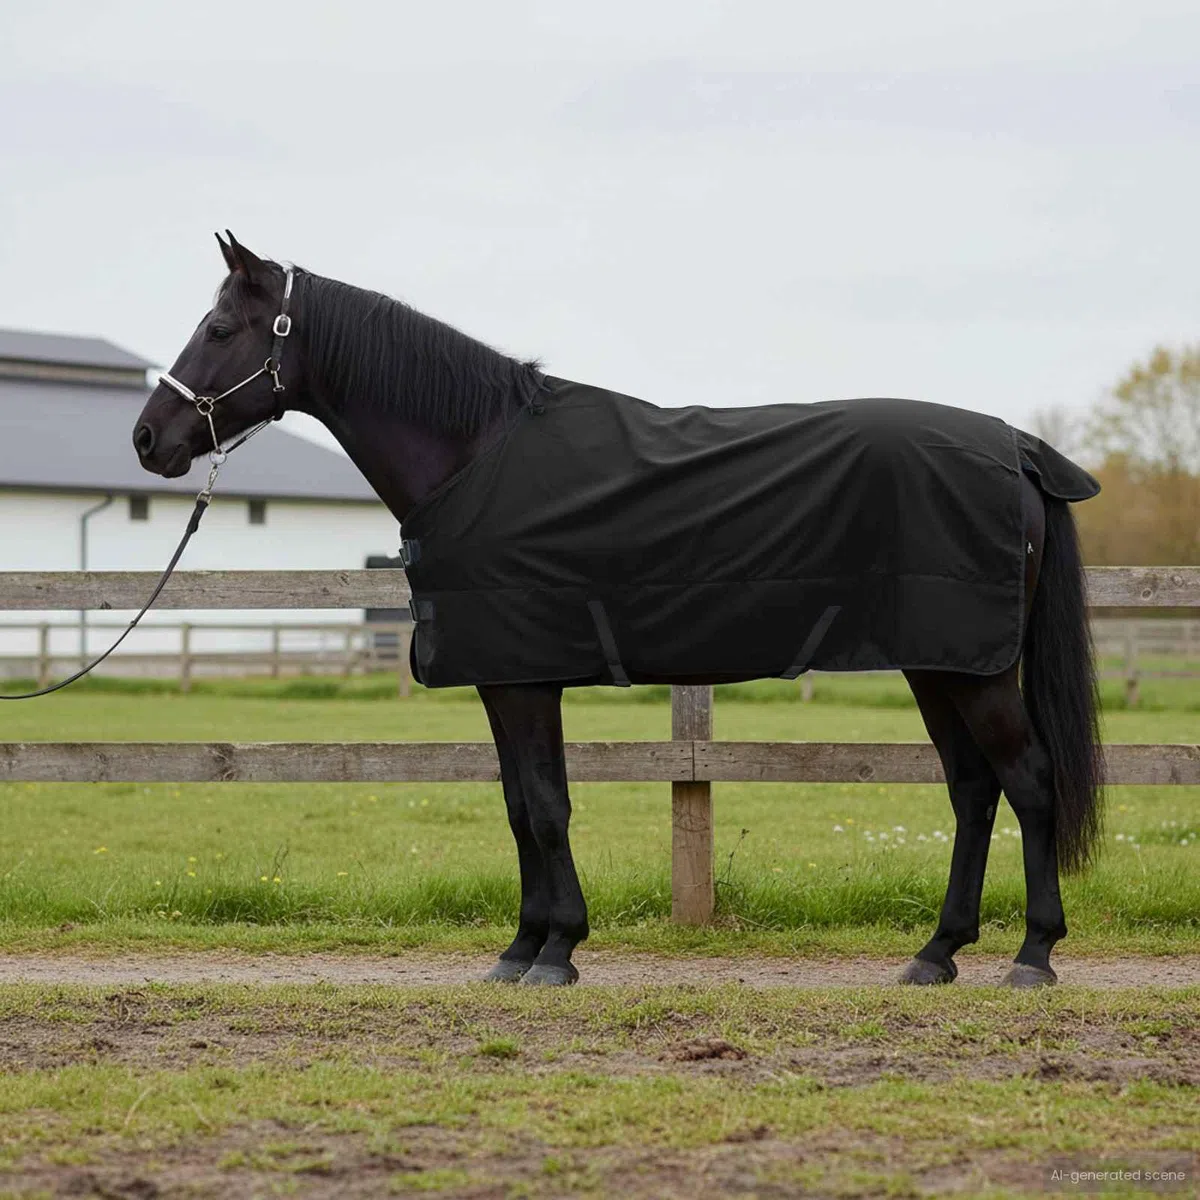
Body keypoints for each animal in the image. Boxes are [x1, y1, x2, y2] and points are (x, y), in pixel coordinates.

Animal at [133, 232, 1103, 988]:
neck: (473, 453)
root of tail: (1016, 448)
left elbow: (546, 807)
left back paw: (1033, 955)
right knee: (973, 789)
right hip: (940, 665)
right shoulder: (505, 678)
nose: (148, 439)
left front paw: (555, 950)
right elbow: (520, 805)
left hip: (972, 671)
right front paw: (523, 947)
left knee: (1029, 781)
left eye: (219, 329)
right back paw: (937, 954)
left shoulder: (525, 679)